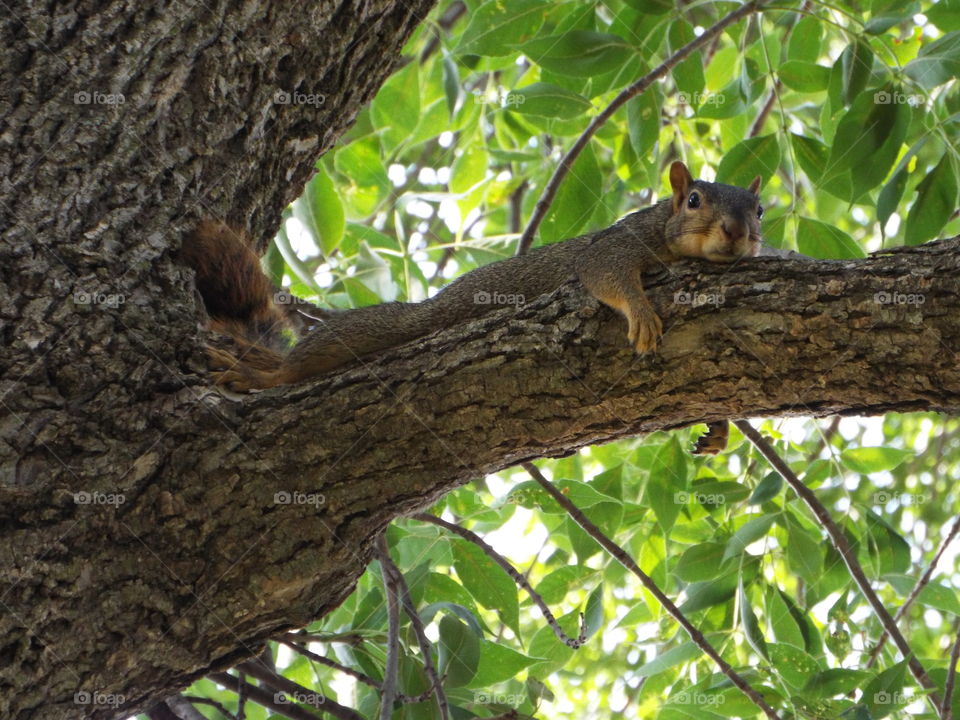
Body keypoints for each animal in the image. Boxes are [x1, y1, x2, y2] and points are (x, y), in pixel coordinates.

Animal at [183, 161, 762, 453]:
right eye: (694, 201)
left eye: (759, 209)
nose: (738, 232)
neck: (667, 231)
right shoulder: (617, 245)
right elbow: (607, 274)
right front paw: (641, 313)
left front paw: (719, 429)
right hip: (403, 323)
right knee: (302, 364)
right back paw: (264, 376)